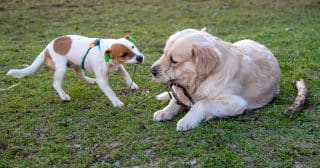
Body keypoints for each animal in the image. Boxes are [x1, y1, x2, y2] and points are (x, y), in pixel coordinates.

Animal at [6, 34, 144, 107]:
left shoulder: (118, 67)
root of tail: (46, 49)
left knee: (79, 75)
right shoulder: (102, 79)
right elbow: (110, 92)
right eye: (123, 54)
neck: (106, 53)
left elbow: (126, 75)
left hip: (76, 64)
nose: (140, 57)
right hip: (61, 69)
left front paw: (132, 85)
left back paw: (90, 81)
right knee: (56, 84)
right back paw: (64, 96)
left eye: (133, 46)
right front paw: (117, 102)